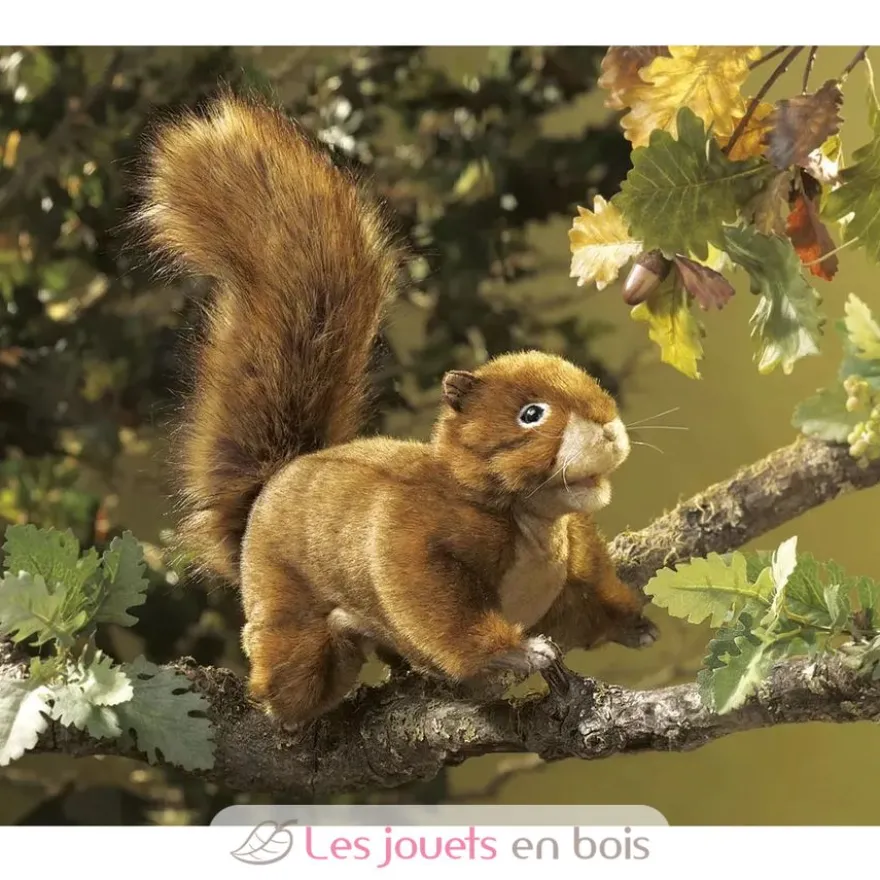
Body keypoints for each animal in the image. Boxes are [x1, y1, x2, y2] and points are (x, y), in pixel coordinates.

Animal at [136, 93, 659, 729]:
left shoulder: (577, 563)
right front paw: (516, 653)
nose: (607, 427)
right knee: (290, 680)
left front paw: (635, 624)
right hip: (282, 604)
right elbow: (436, 609)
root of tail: (271, 483)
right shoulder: (416, 536)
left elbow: (589, 607)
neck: (534, 521)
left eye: (590, 381)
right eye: (530, 414)